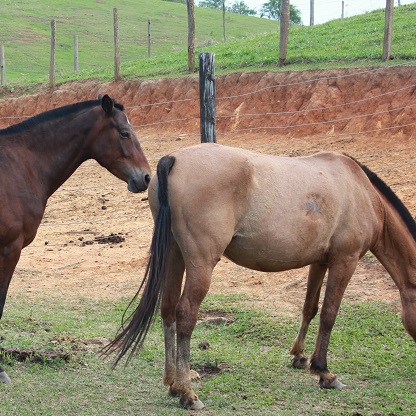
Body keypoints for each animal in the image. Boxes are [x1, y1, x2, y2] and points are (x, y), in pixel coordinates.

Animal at [108, 143, 416, 410]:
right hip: (200, 263)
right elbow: (329, 314)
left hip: (174, 255)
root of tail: (174, 159)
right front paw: (324, 372)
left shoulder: (320, 262)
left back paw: (173, 384)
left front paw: (300, 356)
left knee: (168, 310)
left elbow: (310, 308)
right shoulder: (345, 260)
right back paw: (187, 392)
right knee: (185, 314)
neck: (363, 193)